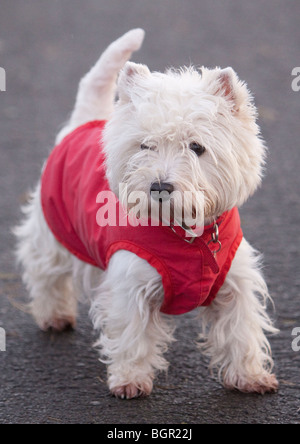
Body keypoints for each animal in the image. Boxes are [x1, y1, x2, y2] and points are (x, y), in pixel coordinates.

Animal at [15, 30, 278, 398]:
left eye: (197, 147)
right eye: (145, 145)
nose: (160, 186)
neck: (186, 234)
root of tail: (84, 122)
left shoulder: (234, 282)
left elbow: (240, 331)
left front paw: (250, 377)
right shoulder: (130, 284)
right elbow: (132, 335)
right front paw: (130, 380)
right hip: (52, 226)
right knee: (44, 270)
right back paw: (54, 315)